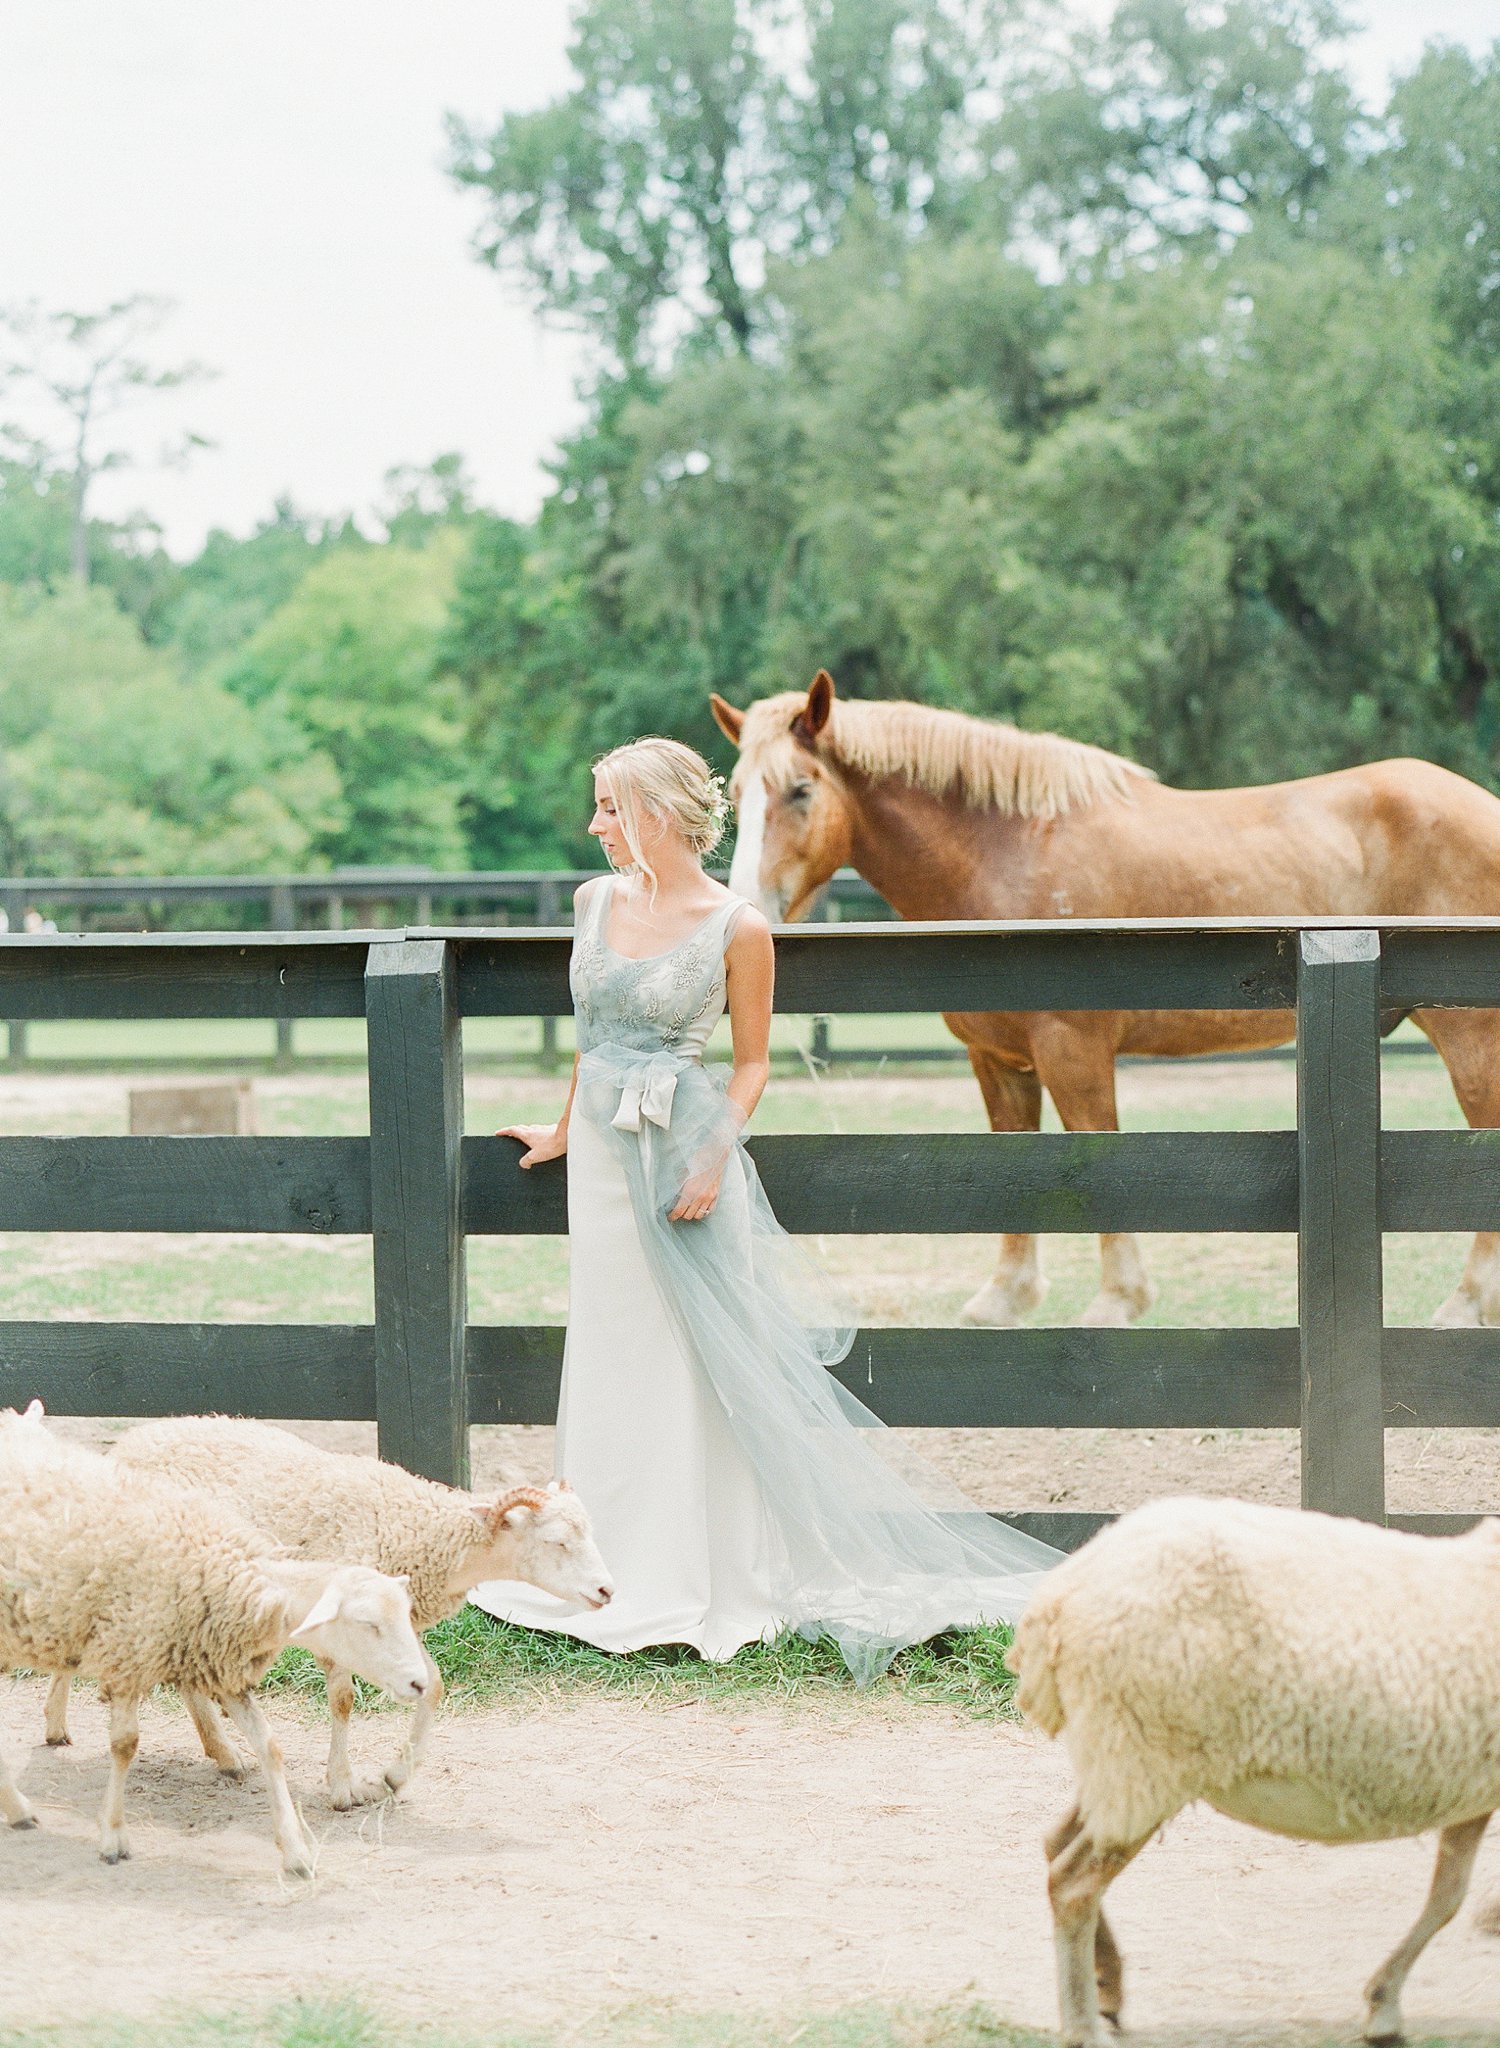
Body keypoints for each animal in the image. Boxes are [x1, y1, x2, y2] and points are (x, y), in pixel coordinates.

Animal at [0, 1425, 430, 1875]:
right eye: (368, 1623)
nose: (420, 1682)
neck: (221, 1571)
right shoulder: (131, 1654)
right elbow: (124, 1746)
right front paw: (113, 1837)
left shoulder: (220, 1661)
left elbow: (269, 1745)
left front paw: (295, 1851)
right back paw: (20, 1806)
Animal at [89, 1425, 610, 1810]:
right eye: (558, 1541)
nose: (608, 1590)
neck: (421, 1531)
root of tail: (130, 1440)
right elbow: (343, 1701)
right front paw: (342, 1788)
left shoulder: (397, 1626)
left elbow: (432, 1684)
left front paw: (393, 1778)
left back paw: (224, 1754)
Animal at [709, 671, 1500, 1335]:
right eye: (737, 793)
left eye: (801, 790)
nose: (750, 915)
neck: (1007, 852)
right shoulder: (999, 1062)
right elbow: (1010, 1165)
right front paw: (1006, 1298)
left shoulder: (1073, 1049)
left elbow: (1098, 1158)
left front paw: (1118, 1301)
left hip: (1468, 1037)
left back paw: (1466, 1304)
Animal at [1000, 1490, 1500, 2048]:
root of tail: (1058, 1597)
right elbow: (1449, 1898)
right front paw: (1384, 2007)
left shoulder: (1470, 1788)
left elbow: (1447, 1897)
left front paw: (1383, 2003)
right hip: (1144, 1757)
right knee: (1074, 1883)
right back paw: (1083, 2026)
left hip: (1120, 1763)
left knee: (1057, 1842)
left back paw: (1108, 1987)